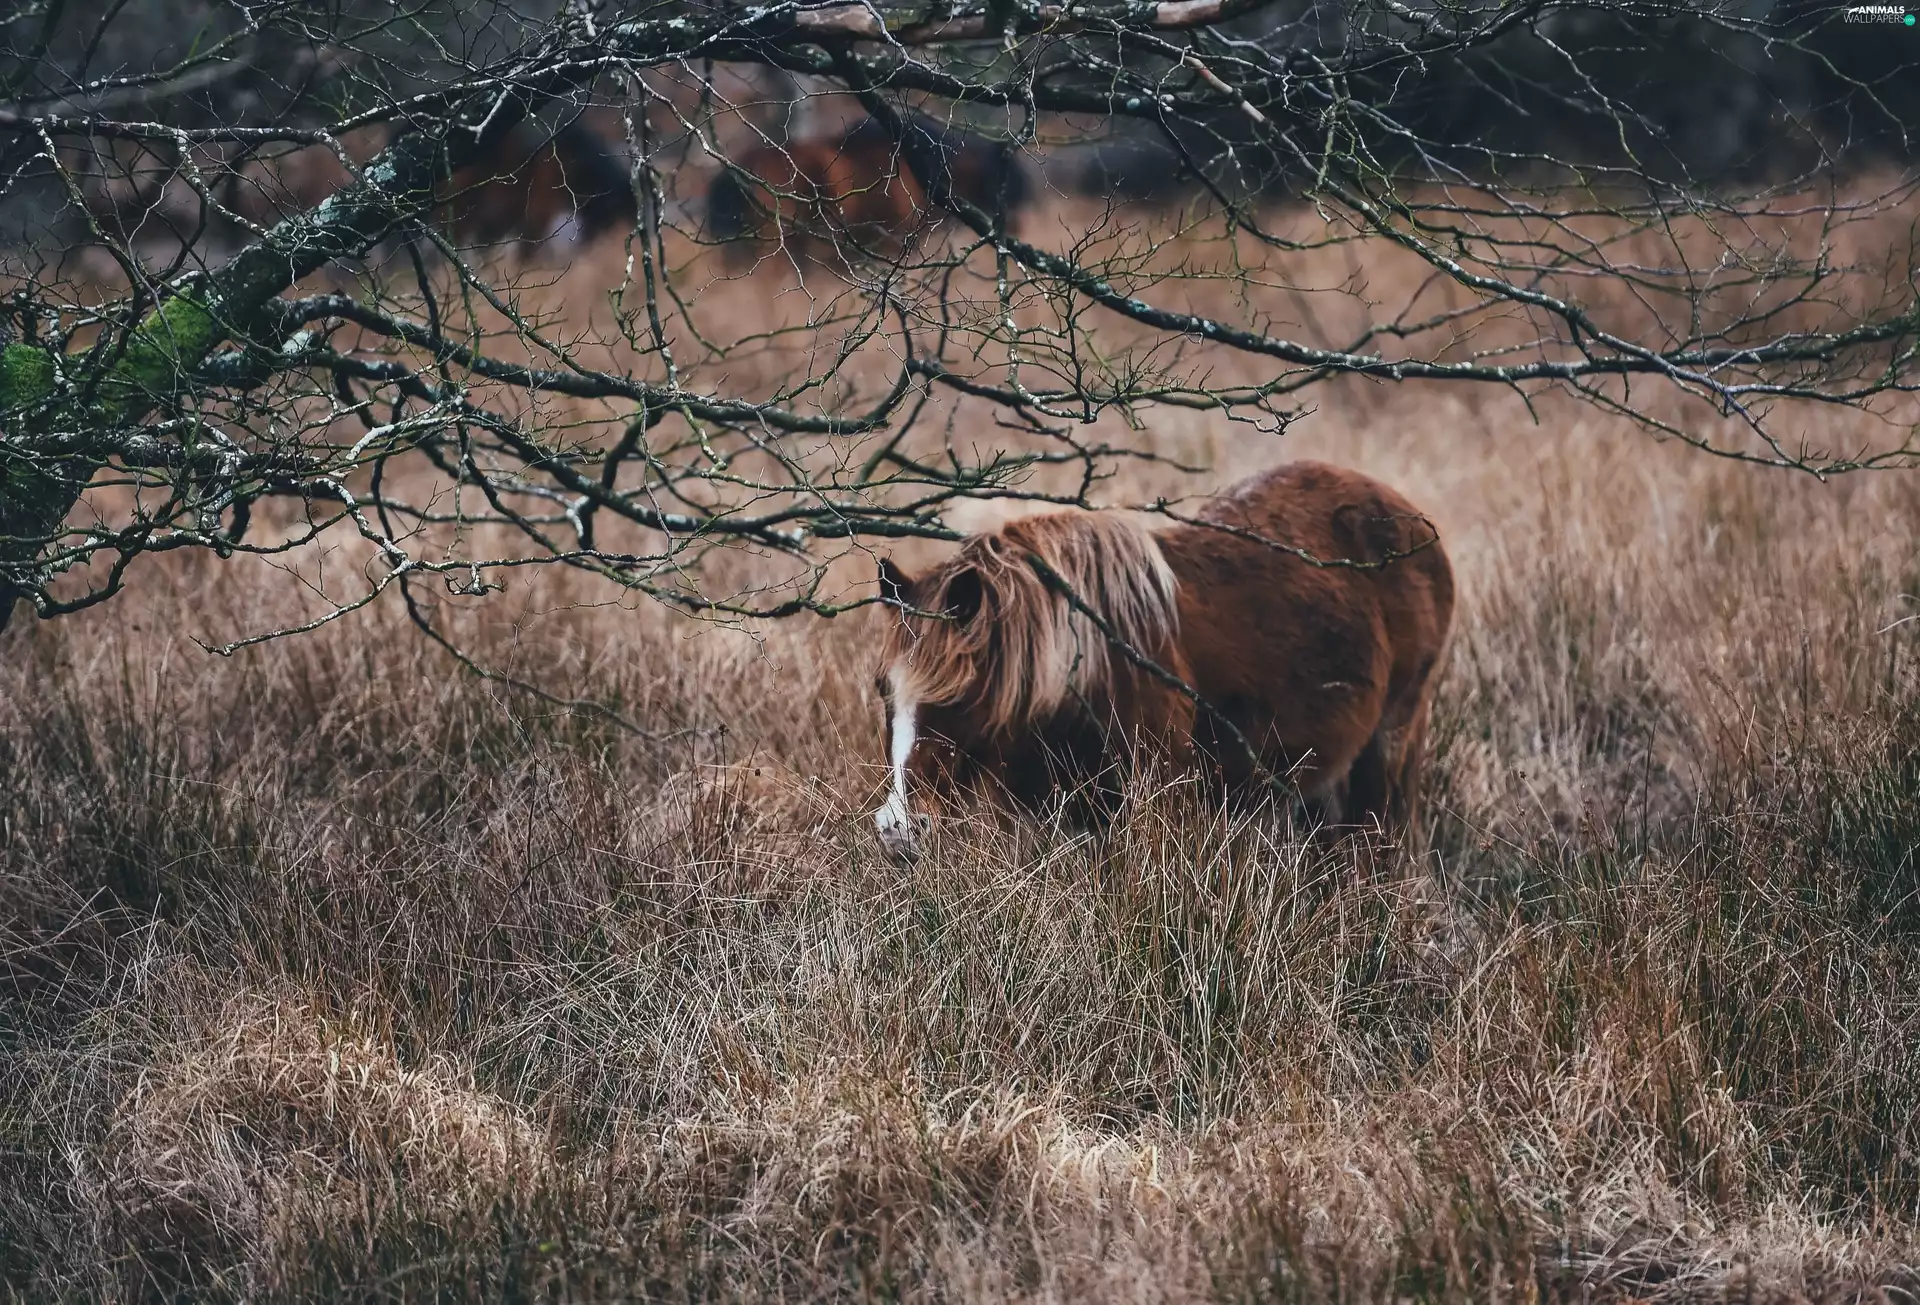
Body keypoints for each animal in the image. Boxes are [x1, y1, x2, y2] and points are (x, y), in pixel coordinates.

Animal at [869, 461, 1455, 860]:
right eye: (882, 691)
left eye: (957, 697)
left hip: (1392, 740)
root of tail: (1414, 524)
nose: (899, 828)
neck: (1087, 667)